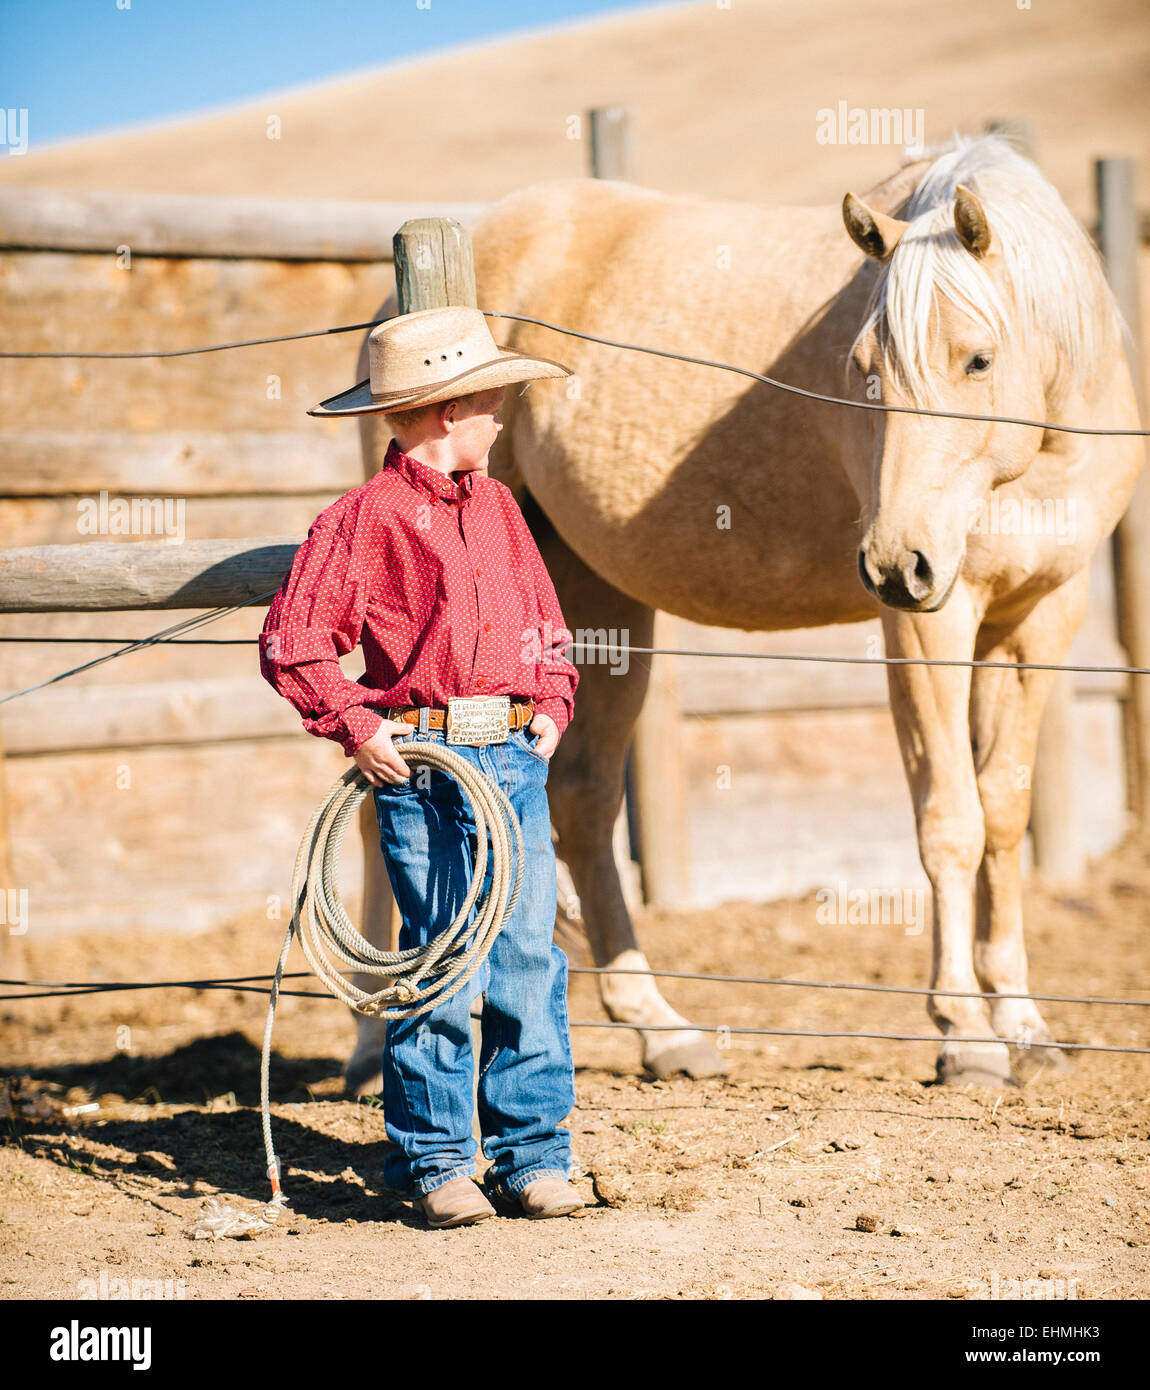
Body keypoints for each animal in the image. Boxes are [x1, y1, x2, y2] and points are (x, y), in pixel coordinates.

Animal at [346, 138, 1145, 1095]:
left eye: (979, 360)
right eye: (864, 367)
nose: (896, 561)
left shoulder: (1039, 621)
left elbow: (1004, 815)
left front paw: (1023, 1025)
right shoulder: (931, 623)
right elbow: (949, 819)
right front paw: (966, 1036)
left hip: (599, 603)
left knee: (580, 801)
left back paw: (661, 1030)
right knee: (385, 795)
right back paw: (368, 1045)